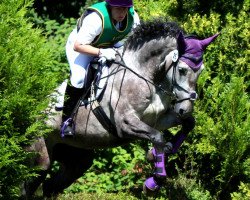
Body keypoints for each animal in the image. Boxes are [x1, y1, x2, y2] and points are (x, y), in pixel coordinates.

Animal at [23, 19, 219, 198]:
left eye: (201, 70)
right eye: (182, 69)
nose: (185, 109)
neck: (147, 76)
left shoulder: (158, 118)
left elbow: (188, 124)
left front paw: (161, 152)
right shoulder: (125, 124)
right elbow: (157, 136)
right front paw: (153, 181)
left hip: (76, 157)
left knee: (50, 186)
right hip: (40, 158)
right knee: (28, 186)